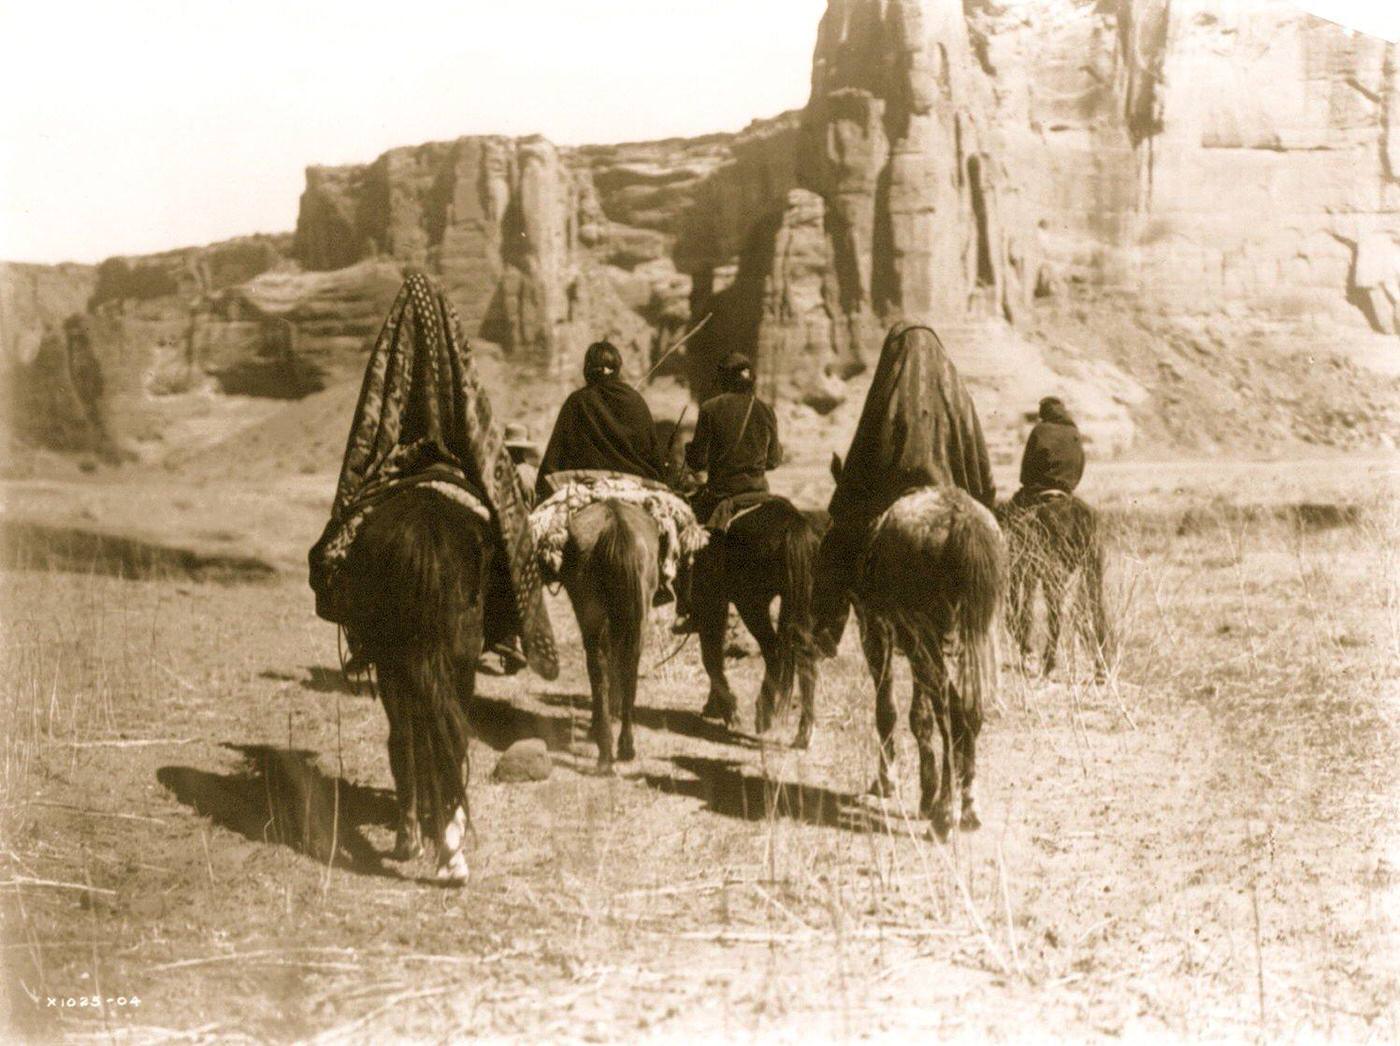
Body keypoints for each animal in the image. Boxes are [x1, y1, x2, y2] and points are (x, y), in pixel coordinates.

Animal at [340, 490, 490, 884]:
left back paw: (414, 840)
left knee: (407, 739)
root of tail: (427, 529)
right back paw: (450, 849)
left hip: (397, 664)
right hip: (458, 665)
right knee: (449, 739)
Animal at [560, 498, 658, 767]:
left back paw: (605, 745)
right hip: (636, 616)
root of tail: (616, 527)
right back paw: (623, 746)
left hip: (594, 615)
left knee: (600, 667)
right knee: (628, 669)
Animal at [688, 498, 817, 744]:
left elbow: (711, 657)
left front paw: (728, 712)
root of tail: (792, 521)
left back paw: (763, 716)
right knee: (805, 655)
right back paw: (803, 733)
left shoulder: (711, 605)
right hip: (798, 603)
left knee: (773, 652)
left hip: (751, 605)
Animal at [817, 453, 1008, 840]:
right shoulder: (913, 641)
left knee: (952, 710)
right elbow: (920, 714)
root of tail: (960, 521)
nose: (820, 631)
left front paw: (888, 782)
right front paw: (926, 790)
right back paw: (968, 805)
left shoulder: (876, 630)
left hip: (922, 635)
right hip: (976, 634)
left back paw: (946, 814)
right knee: (969, 710)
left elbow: (886, 709)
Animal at [1002, 492, 1108, 680]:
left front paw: (1027, 651)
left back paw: (1048, 664)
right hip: (1091, 572)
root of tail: (1078, 512)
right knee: (1096, 615)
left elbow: (1018, 616)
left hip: (1052, 577)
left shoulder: (1021, 575)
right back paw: (1100, 669)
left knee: (1056, 618)